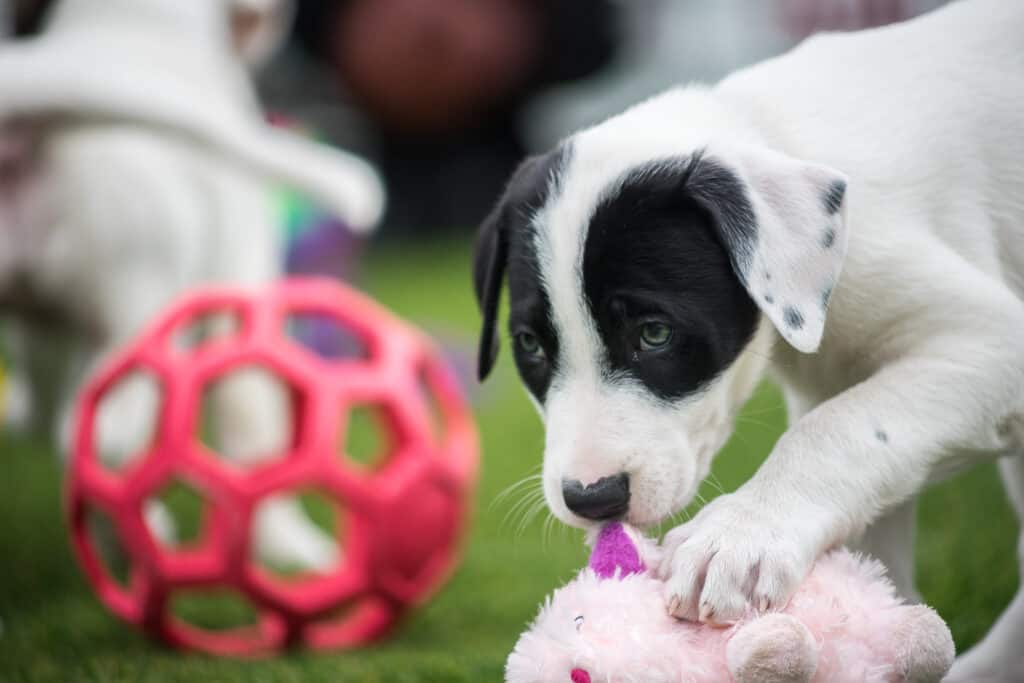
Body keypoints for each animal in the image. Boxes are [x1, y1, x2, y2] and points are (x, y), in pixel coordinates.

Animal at [0, 0, 385, 573]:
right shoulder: (243, 276)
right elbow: (251, 425)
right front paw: (290, 548)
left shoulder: (41, 329)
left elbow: (38, 399)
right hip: (141, 313)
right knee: (97, 437)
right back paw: (142, 541)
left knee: (70, 428)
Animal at [473, 2, 1024, 679]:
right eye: (531, 346)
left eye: (655, 334)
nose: (591, 498)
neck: (769, 128)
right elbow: (873, 513)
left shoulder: (990, 339)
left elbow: (837, 429)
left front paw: (739, 536)